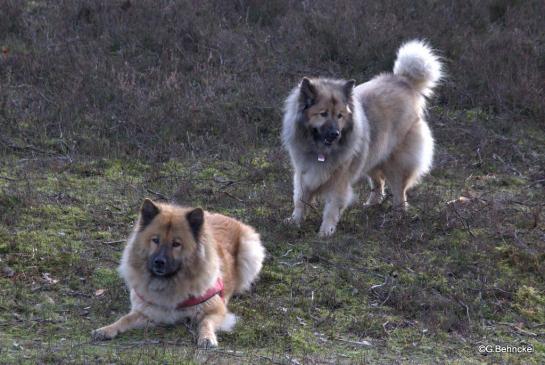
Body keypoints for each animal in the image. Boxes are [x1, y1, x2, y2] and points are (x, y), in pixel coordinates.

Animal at [92, 199, 266, 346]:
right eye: (155, 240)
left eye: (176, 244)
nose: (159, 262)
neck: (170, 284)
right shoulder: (147, 312)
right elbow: (124, 319)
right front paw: (107, 329)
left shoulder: (217, 309)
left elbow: (206, 322)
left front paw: (206, 337)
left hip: (249, 251)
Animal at [280, 39, 442, 236]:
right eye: (323, 114)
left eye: (340, 116)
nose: (335, 134)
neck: (319, 149)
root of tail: (403, 80)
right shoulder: (303, 173)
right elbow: (300, 200)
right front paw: (294, 221)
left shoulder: (340, 180)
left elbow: (331, 207)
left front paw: (326, 231)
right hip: (371, 155)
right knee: (378, 183)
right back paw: (371, 204)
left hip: (396, 161)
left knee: (399, 190)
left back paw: (398, 215)